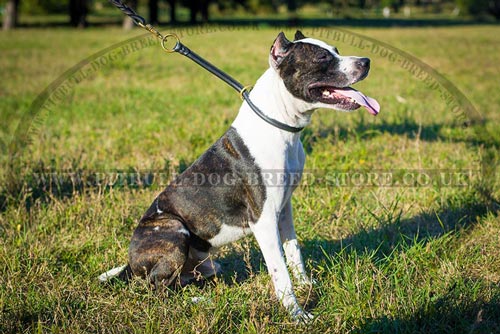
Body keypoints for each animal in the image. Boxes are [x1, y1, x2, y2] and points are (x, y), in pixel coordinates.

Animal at [100, 31, 378, 320]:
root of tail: (129, 264)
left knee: (183, 279)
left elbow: (294, 252)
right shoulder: (263, 220)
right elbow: (280, 271)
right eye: (322, 57)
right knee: (158, 288)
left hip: (206, 262)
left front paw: (306, 284)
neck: (280, 124)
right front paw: (297, 314)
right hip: (174, 229)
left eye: (336, 50)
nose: (366, 61)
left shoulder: (284, 210)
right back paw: (199, 302)